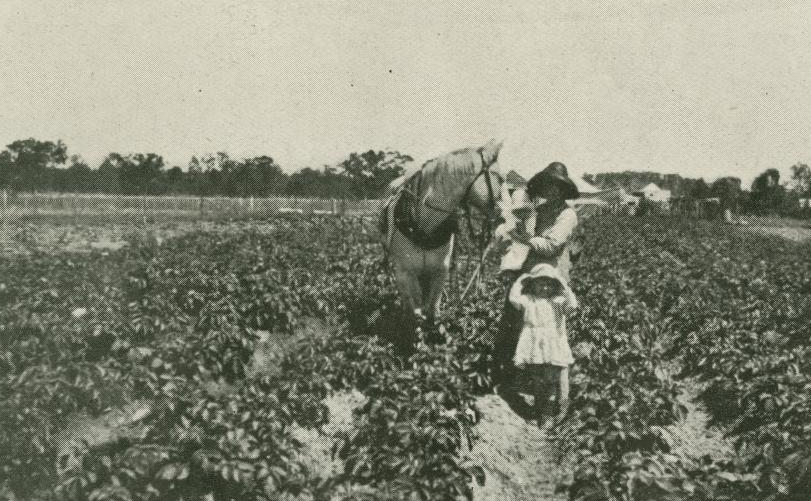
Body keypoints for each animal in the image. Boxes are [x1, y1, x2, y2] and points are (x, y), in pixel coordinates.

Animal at [380, 139, 504, 318]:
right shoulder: (403, 273)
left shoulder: (440, 271)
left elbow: (432, 309)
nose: (505, 216)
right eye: (501, 179)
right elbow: (412, 310)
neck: (424, 229)